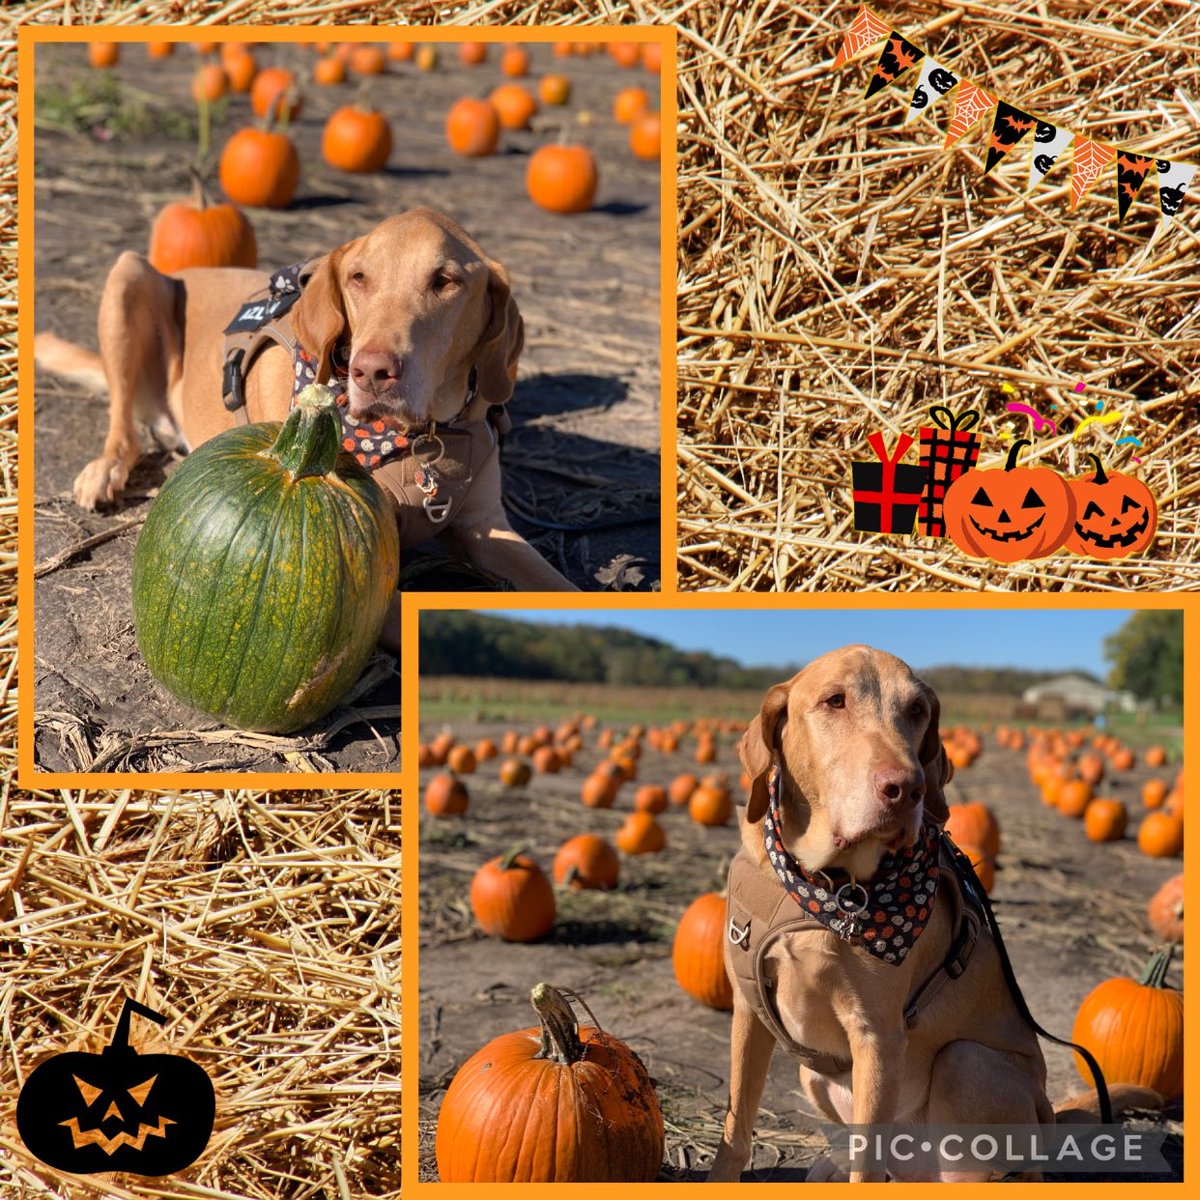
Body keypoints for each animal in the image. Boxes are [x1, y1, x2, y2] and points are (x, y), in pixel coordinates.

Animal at [35, 211, 578, 600]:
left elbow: (563, 587)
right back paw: (106, 468)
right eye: (358, 278)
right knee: (123, 424)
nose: (371, 371)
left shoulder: (488, 528)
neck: (421, 438)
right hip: (130, 274)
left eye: (445, 281)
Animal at [700, 648, 1060, 1180]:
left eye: (917, 710)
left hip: (967, 1065)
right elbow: (736, 1123)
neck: (825, 885)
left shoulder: (878, 1037)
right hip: (813, 1074)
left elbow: (866, 1163)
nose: (907, 788)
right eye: (835, 701)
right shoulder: (748, 1007)